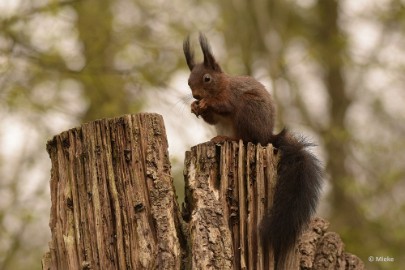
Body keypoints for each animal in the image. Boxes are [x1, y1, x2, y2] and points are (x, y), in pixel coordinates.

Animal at [183, 33, 322, 268]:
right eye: (188, 81)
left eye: (207, 79)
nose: (195, 96)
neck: (224, 84)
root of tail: (268, 137)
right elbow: (211, 118)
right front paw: (195, 107)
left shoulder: (231, 96)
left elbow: (224, 105)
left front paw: (206, 103)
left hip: (248, 110)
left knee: (247, 138)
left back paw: (226, 138)